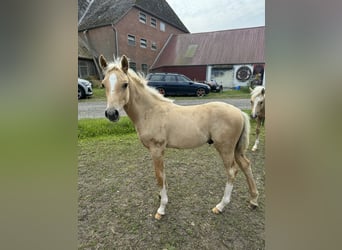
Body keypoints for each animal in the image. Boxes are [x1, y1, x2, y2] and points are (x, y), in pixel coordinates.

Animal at [97, 54, 258, 219]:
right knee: (246, 165)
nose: (112, 113)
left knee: (232, 171)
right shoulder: (160, 150)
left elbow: (159, 175)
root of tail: (239, 112)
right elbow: (163, 175)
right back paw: (253, 200)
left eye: (125, 84)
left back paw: (220, 206)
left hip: (225, 148)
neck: (150, 111)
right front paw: (162, 197)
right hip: (236, 149)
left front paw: (161, 209)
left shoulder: (156, 149)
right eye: (103, 84)